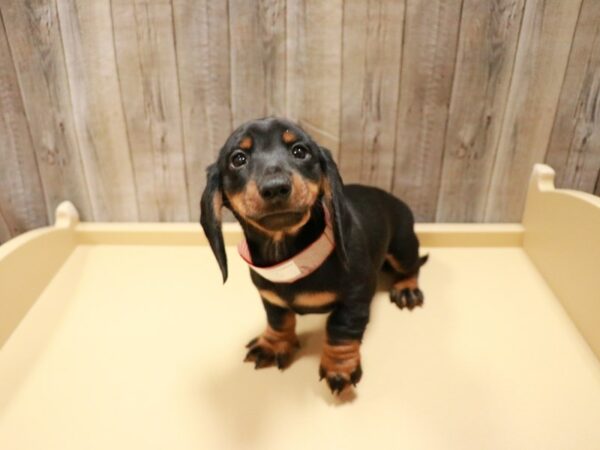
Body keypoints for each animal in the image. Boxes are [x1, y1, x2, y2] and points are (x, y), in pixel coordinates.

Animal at [202, 117, 426, 394]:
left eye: (300, 151)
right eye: (238, 159)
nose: (275, 188)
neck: (293, 259)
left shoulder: (355, 298)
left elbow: (341, 330)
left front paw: (339, 368)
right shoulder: (270, 297)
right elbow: (278, 320)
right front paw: (273, 344)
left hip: (403, 246)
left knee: (412, 265)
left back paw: (407, 288)